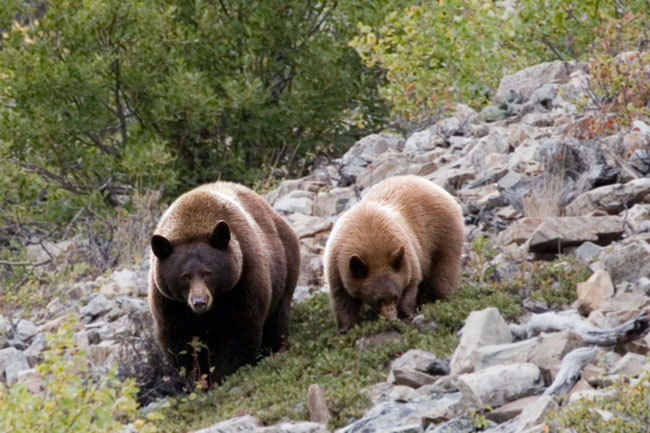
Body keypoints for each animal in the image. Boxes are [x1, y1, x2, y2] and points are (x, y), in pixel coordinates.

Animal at [147, 181, 298, 384]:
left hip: (285, 270)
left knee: (277, 319)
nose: (199, 302)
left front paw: (223, 375)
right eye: (184, 276)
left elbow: (239, 330)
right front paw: (198, 379)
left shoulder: (244, 279)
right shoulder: (169, 302)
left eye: (208, 273)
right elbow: (179, 340)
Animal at [322, 175, 464, 330]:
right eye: (377, 299)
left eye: (395, 296)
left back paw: (438, 299)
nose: (392, 318)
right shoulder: (337, 266)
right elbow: (342, 299)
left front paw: (408, 314)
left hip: (443, 236)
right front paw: (346, 327)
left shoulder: (408, 257)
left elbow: (410, 284)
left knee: (443, 272)